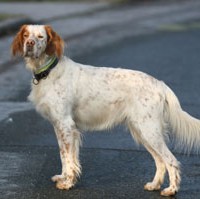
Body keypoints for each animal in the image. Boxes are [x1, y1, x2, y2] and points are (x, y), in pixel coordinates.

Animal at [11, 24, 200, 196]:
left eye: (40, 37)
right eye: (26, 35)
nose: (29, 43)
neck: (49, 71)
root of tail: (160, 84)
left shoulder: (66, 125)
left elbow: (68, 157)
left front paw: (68, 183)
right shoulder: (59, 126)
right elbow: (64, 155)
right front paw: (63, 177)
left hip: (149, 130)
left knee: (171, 160)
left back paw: (171, 190)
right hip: (143, 131)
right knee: (160, 161)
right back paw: (154, 185)